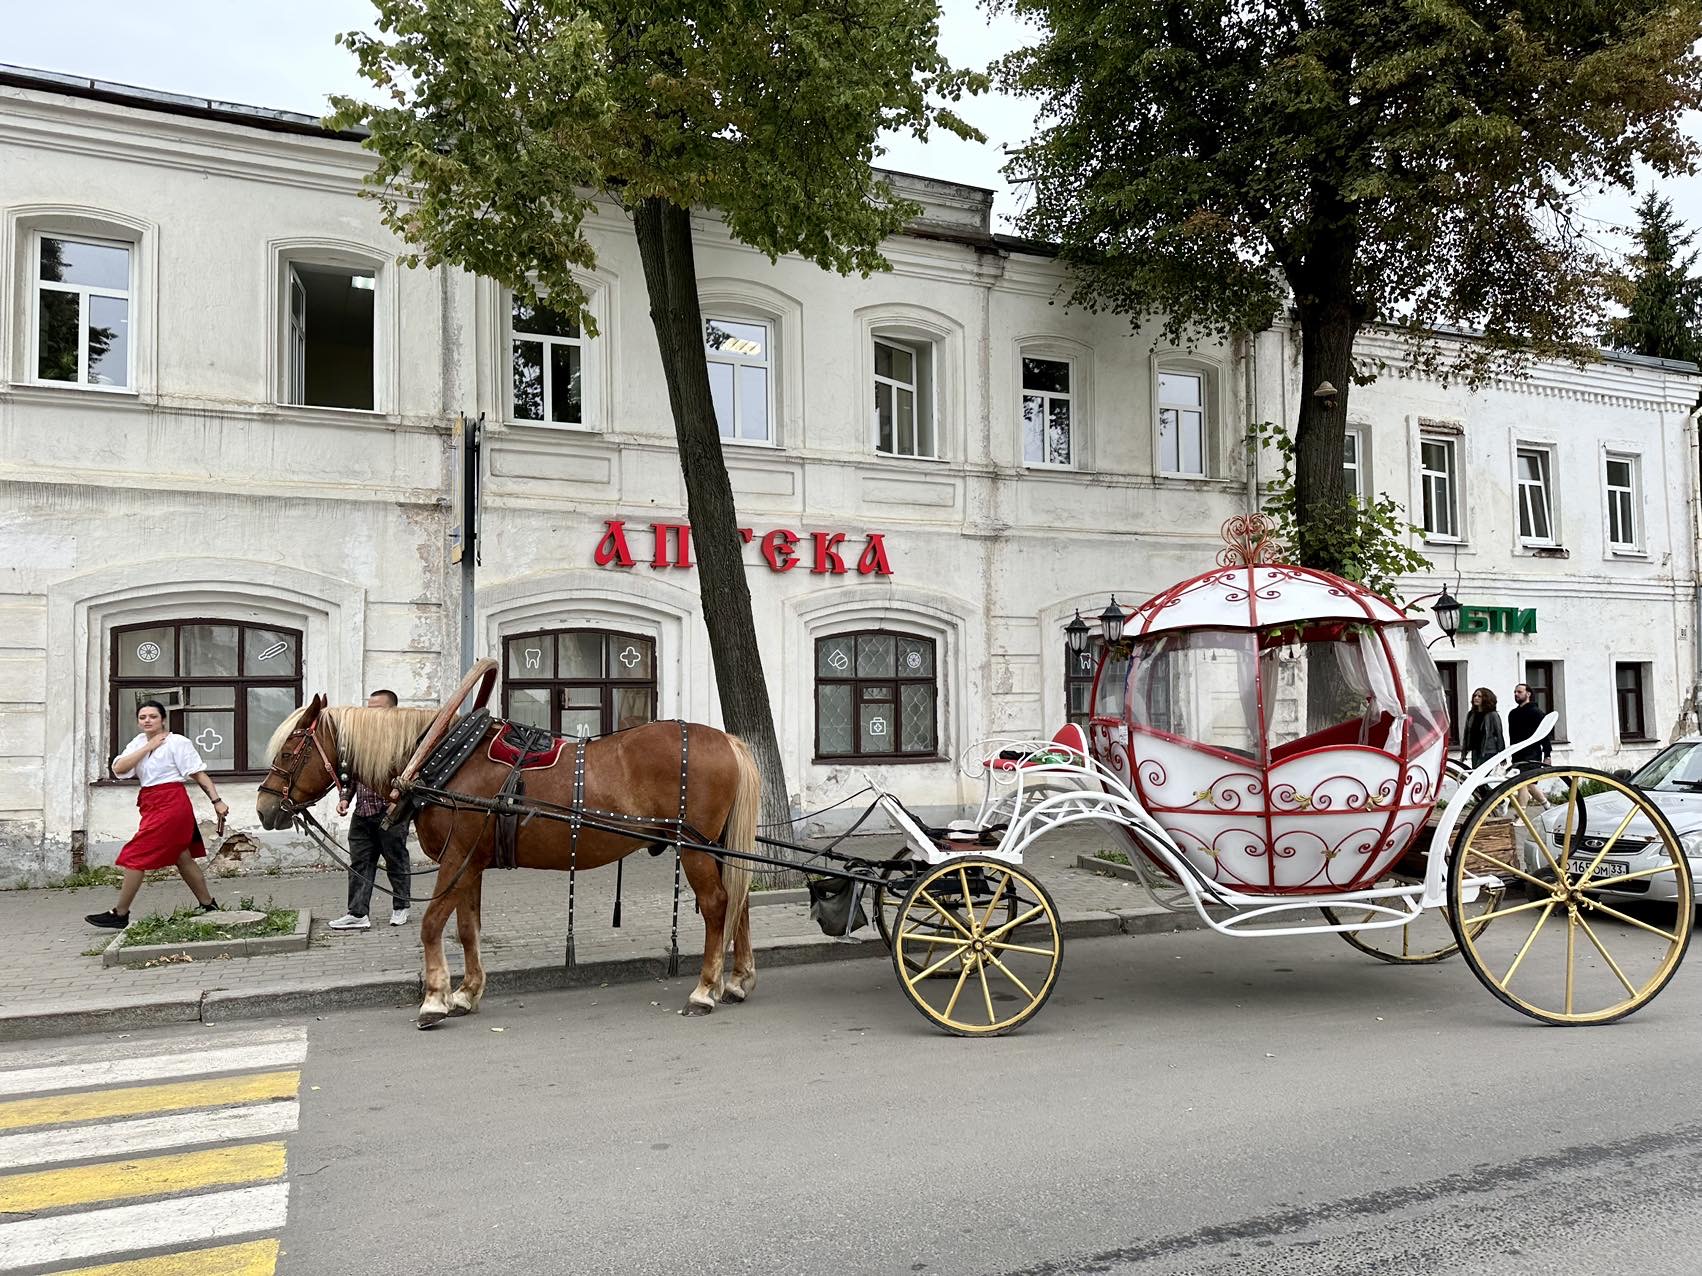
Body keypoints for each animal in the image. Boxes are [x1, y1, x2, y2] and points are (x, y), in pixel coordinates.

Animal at [253, 700, 759, 1027]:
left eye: (289, 751)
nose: (264, 808)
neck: (443, 762)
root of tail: (726, 740)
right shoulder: (470, 864)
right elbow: (466, 928)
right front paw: (466, 993)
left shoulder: (456, 859)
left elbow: (431, 923)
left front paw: (434, 999)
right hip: (718, 846)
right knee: (740, 902)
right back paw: (737, 980)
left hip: (694, 847)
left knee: (717, 905)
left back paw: (704, 990)